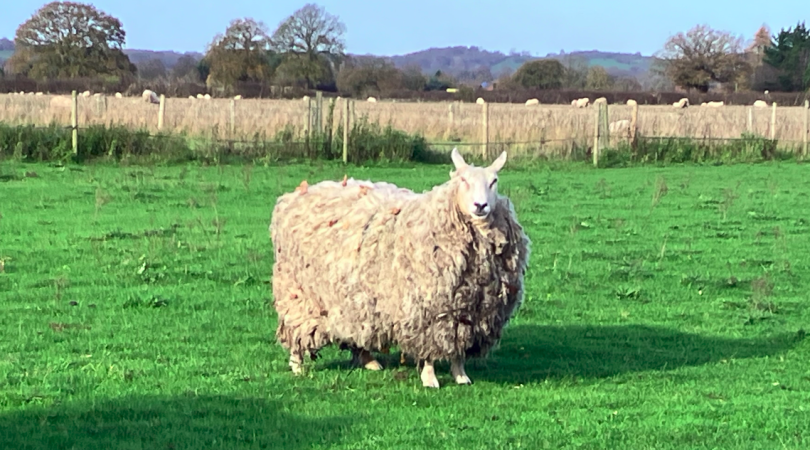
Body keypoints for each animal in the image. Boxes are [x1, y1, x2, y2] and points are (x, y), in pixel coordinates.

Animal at [269, 148, 531, 388]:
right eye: (463, 180)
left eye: (494, 181)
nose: (480, 205)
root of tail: (294, 196)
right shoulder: (426, 310)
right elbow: (430, 349)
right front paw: (430, 378)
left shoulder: (466, 311)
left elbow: (457, 345)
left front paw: (460, 375)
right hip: (299, 293)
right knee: (296, 327)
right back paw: (297, 365)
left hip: (353, 298)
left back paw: (369, 361)